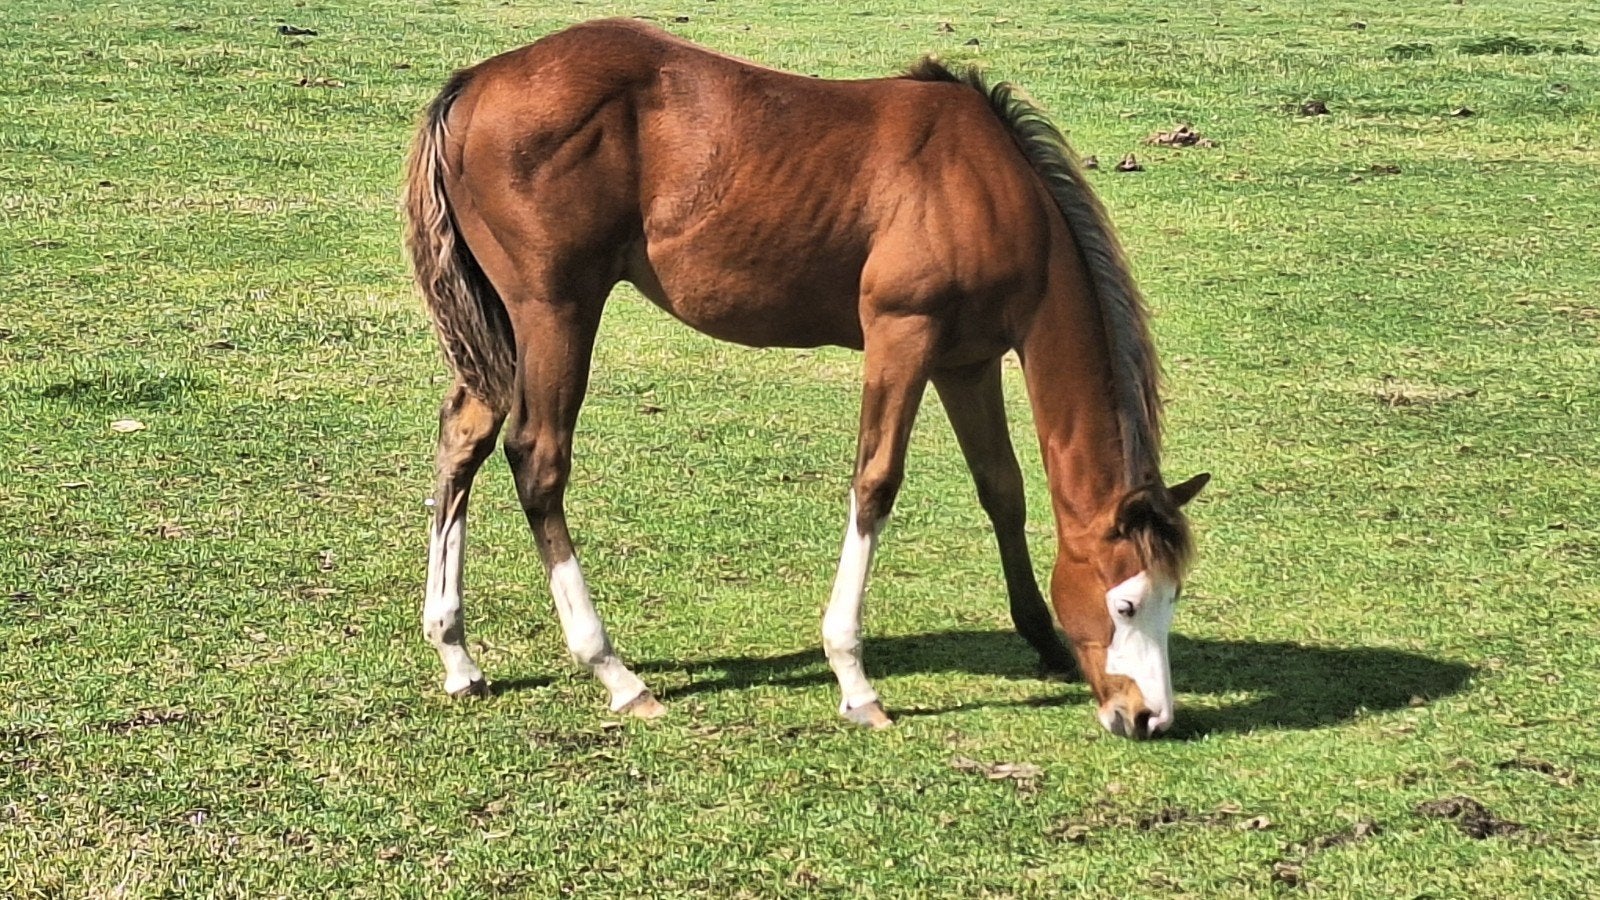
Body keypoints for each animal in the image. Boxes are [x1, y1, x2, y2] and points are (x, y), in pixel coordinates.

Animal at [404, 19, 1207, 739]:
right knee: (537, 460)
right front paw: (855, 680)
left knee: (464, 440)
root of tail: (477, 81)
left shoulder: (966, 361)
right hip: (556, 311)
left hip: (505, 328)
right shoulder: (903, 336)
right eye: (1126, 603)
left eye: (1175, 596)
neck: (986, 186)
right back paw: (615, 672)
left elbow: (1001, 489)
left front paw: (1041, 638)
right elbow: (875, 484)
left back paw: (456, 653)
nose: (1148, 717)